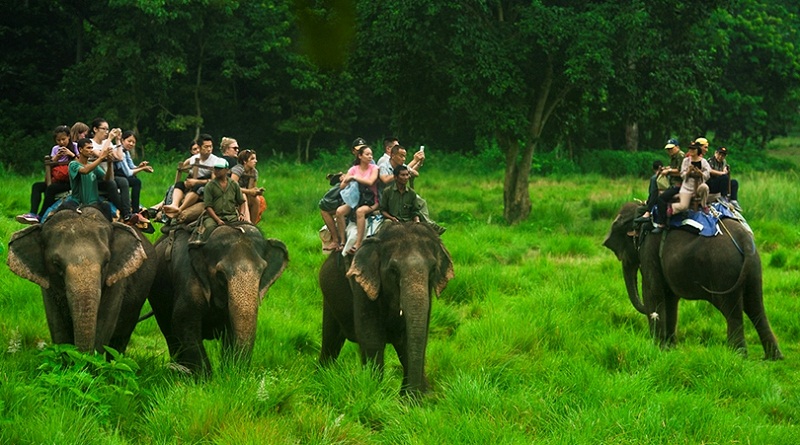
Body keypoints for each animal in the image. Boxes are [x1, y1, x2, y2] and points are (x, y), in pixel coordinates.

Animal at [5, 205, 156, 354]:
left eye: (106, 262)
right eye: (56, 264)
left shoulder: (117, 282)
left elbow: (104, 324)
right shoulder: (48, 287)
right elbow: (57, 325)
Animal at [148, 222, 290, 374]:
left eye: (262, 271)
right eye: (221, 274)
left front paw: (230, 373)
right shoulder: (189, 277)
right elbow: (183, 321)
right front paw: (206, 378)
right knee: (169, 334)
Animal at [320, 220, 456, 394]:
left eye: (433, 269)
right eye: (393, 270)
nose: (412, 395)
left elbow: (411, 340)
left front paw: (417, 396)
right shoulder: (362, 288)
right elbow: (372, 339)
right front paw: (373, 392)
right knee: (330, 340)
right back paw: (321, 378)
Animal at [608, 200, 780, 358]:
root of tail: (743, 240)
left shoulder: (649, 249)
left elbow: (653, 293)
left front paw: (658, 350)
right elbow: (670, 299)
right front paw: (670, 349)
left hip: (724, 269)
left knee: (732, 310)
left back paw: (737, 356)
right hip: (753, 267)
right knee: (755, 306)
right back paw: (773, 357)